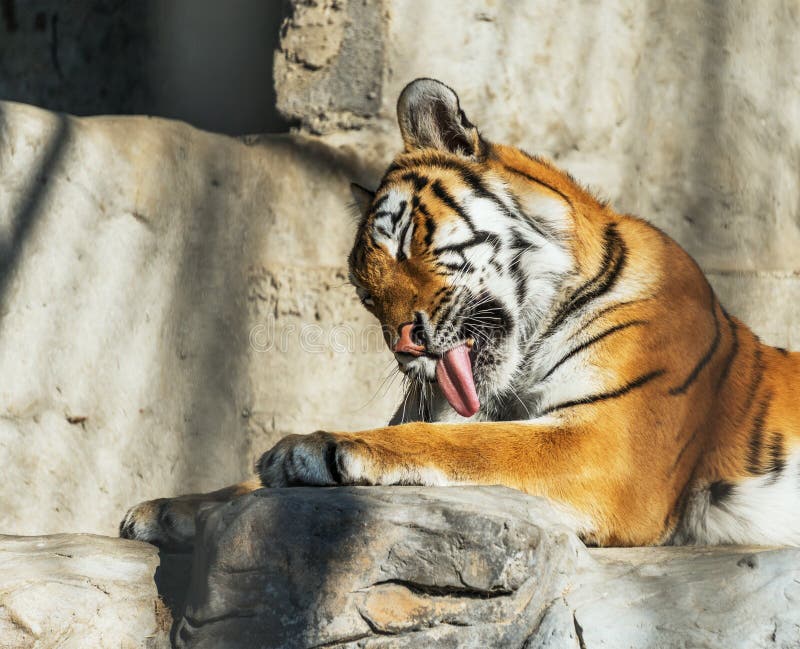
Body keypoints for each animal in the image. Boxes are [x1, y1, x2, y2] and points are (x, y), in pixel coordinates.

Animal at [120, 78, 800, 548]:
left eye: (405, 242)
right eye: (365, 295)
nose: (403, 347)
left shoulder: (610, 443)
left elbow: (470, 442)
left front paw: (317, 446)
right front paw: (170, 508)